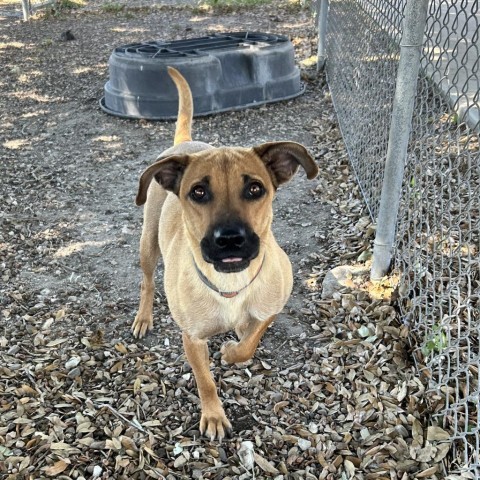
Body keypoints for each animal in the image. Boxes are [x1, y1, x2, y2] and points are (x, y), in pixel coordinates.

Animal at [132, 66, 318, 438]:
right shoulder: (192, 338)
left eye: (256, 189)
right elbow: (205, 380)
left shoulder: (272, 305)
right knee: (147, 281)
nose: (230, 239)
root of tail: (184, 143)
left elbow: (250, 341)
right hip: (148, 245)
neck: (230, 285)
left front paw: (234, 349)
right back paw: (144, 317)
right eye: (198, 192)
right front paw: (214, 415)